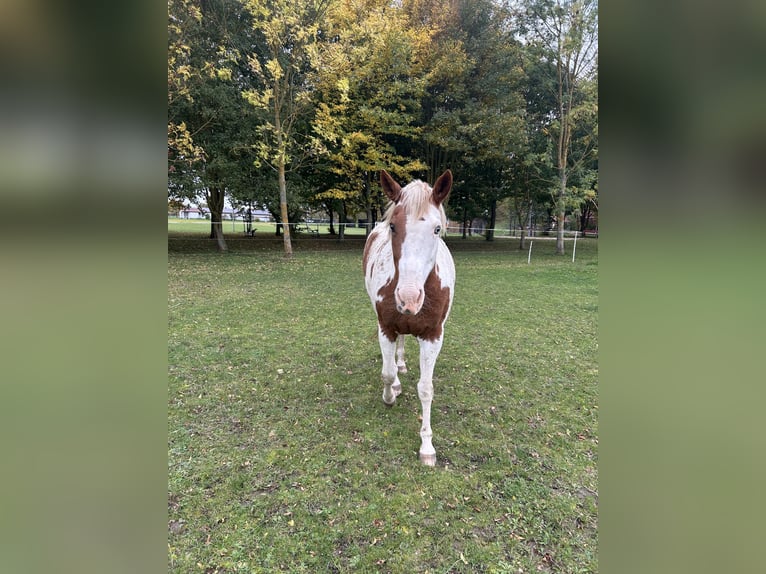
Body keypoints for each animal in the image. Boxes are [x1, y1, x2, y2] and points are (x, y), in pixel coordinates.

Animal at [362, 169, 455, 466]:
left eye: (437, 229)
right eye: (393, 226)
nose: (408, 298)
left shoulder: (433, 336)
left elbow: (426, 389)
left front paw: (427, 446)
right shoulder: (385, 329)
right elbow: (387, 372)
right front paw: (390, 396)